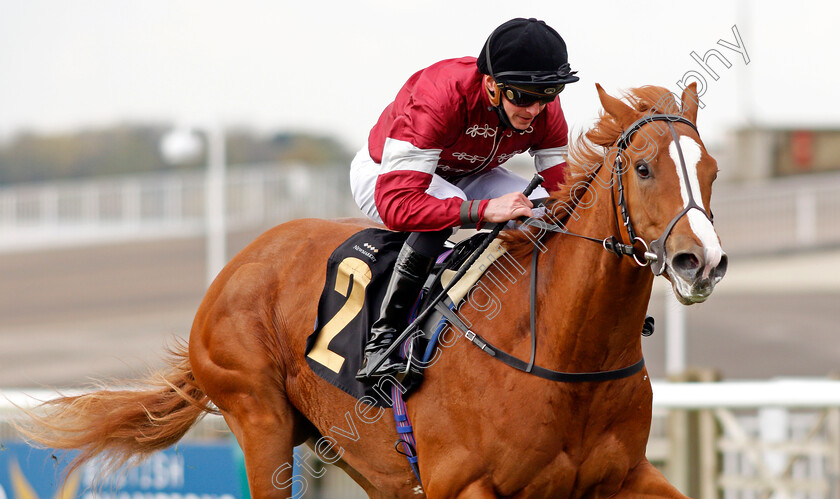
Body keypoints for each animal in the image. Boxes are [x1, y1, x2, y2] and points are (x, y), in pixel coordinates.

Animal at [19, 82, 728, 496]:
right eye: (643, 168)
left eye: (712, 169)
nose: (702, 262)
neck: (563, 348)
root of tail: (237, 265)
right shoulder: (462, 485)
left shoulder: (628, 476)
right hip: (261, 421)